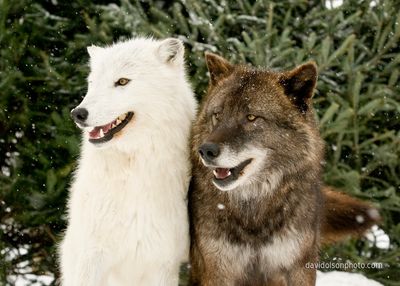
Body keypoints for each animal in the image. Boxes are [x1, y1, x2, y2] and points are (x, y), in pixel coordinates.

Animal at [59, 36, 197, 284]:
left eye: (122, 81)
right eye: (92, 82)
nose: (78, 113)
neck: (133, 171)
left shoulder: (162, 263)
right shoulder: (91, 257)